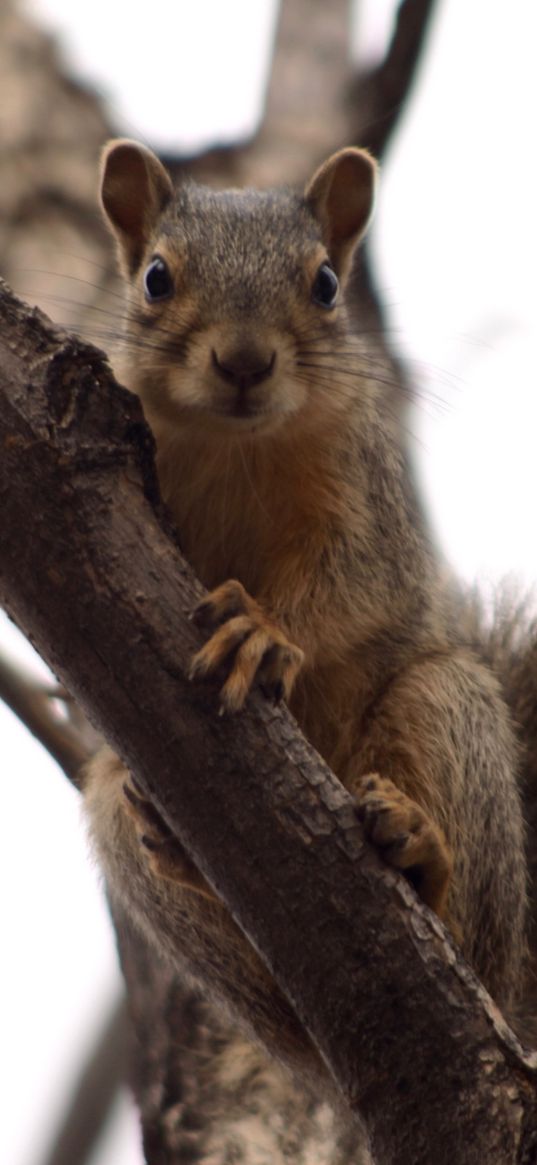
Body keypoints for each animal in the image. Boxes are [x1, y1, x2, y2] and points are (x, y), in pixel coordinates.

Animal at [82, 143, 526, 1090]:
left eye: (325, 283)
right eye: (156, 277)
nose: (245, 362)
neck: (234, 444)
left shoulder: (365, 495)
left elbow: (351, 583)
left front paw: (265, 631)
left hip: (446, 704)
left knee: (468, 943)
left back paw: (420, 854)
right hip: (116, 813)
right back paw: (187, 852)